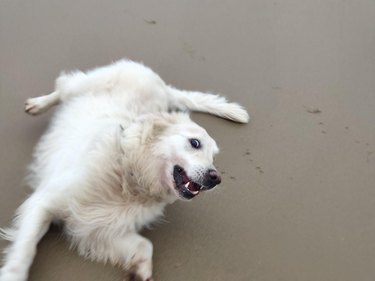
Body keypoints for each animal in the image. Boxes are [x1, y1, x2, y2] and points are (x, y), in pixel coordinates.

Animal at [0, 59, 250, 280]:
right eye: (195, 143)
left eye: (214, 158)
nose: (216, 178)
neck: (130, 174)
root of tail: (162, 86)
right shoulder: (43, 202)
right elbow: (26, 249)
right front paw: (12, 274)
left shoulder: (100, 226)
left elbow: (145, 244)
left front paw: (140, 271)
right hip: (86, 84)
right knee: (63, 86)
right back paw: (38, 104)